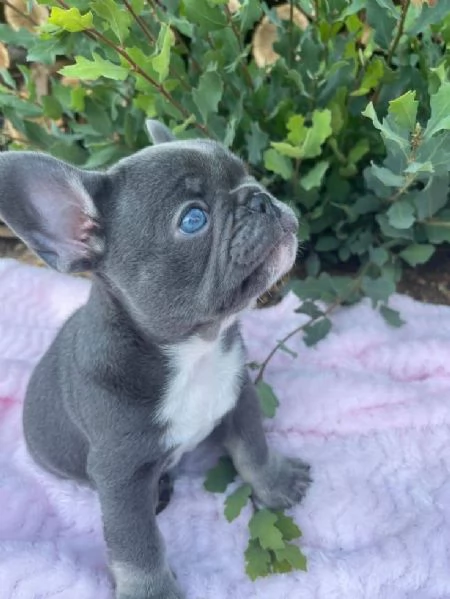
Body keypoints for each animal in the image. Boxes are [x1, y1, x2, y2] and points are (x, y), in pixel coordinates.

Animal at [0, 120, 311, 599]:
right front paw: (154, 592)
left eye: (247, 173)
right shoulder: (120, 477)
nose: (258, 196)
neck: (193, 351)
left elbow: (253, 449)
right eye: (193, 219)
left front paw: (275, 483)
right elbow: (136, 545)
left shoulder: (238, 396)